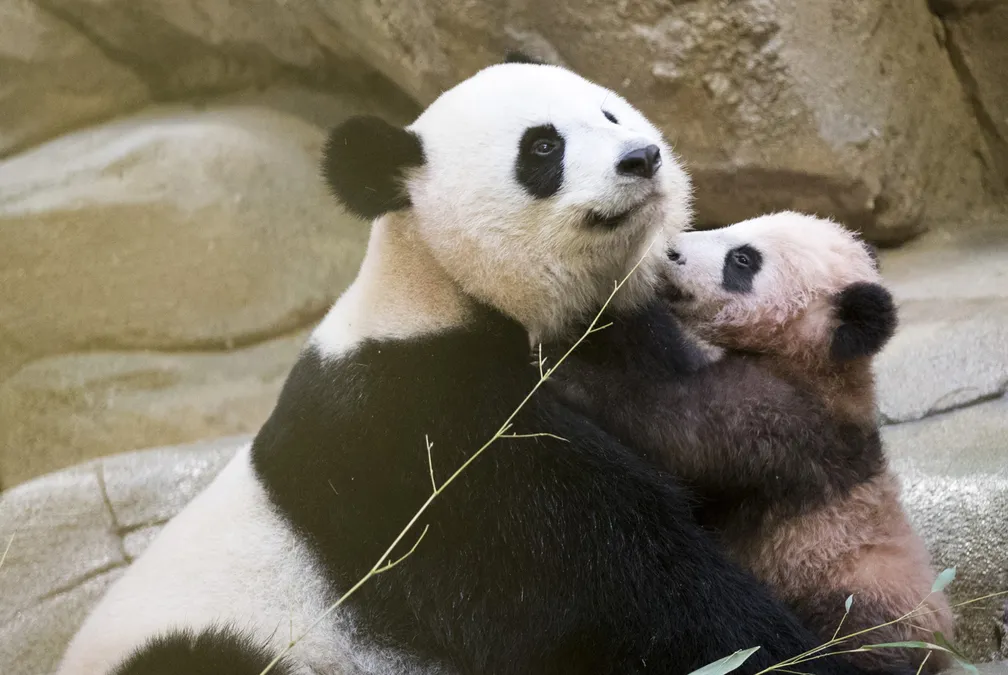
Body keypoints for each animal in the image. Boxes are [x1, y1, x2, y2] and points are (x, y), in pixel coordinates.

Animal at [58, 56, 872, 675]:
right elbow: (602, 585)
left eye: (610, 114)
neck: (443, 286)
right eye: (542, 148)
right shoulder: (412, 426)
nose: (643, 158)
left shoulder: (623, 339)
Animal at [549, 213, 951, 675]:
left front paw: (559, 373)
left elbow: (675, 433)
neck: (821, 363)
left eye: (742, 260)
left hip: (861, 594)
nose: (670, 251)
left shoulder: (784, 423)